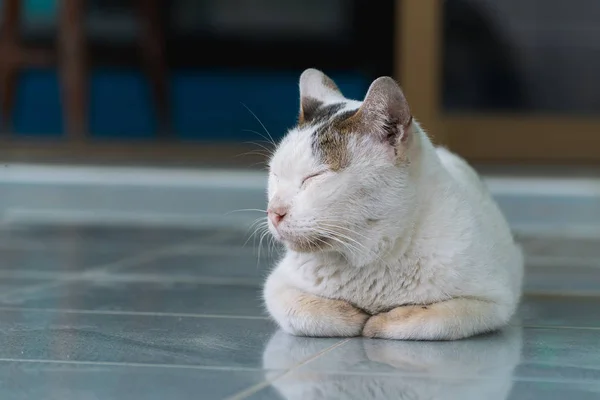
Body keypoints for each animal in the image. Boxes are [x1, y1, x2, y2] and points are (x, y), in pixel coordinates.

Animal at [262, 69, 520, 340]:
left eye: (315, 177)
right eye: (275, 175)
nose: (273, 212)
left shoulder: (492, 302)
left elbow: (430, 319)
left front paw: (379, 321)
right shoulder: (277, 286)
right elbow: (308, 314)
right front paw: (351, 315)